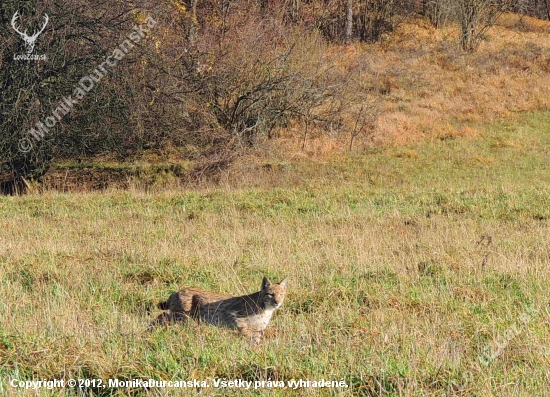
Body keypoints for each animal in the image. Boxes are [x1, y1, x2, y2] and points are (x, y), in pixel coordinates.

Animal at [152, 276, 288, 344]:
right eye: (271, 294)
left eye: (281, 294)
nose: (277, 302)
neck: (266, 309)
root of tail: (177, 290)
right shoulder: (234, 315)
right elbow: (246, 330)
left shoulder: (259, 328)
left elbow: (257, 335)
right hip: (182, 315)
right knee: (162, 316)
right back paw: (150, 329)